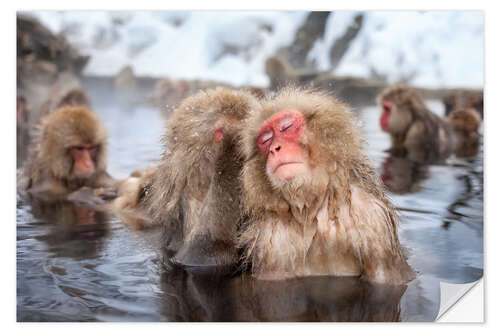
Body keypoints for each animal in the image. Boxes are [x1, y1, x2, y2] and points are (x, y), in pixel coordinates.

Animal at [238, 87, 414, 282]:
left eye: (286, 127)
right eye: (265, 140)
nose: (274, 149)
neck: (313, 211)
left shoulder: (374, 220)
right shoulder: (270, 240)